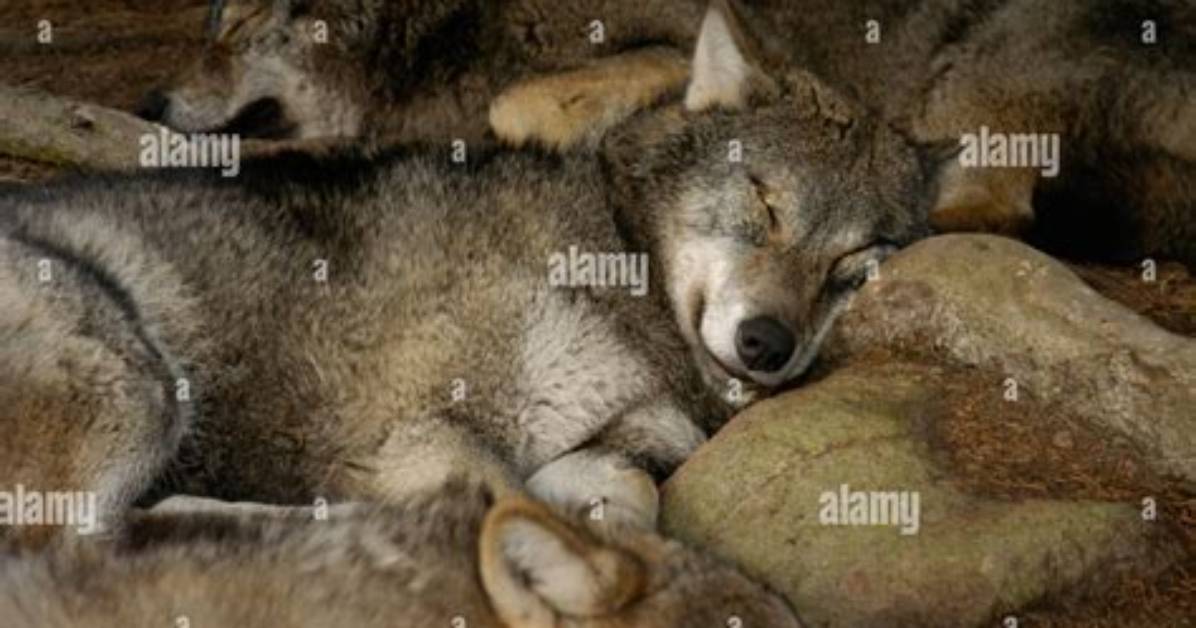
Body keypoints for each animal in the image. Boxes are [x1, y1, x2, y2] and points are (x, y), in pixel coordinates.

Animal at [0, 3, 927, 551]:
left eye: (854, 267)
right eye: (765, 203)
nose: (768, 344)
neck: (622, 269)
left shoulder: (613, 441)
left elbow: (627, 491)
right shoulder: (423, 426)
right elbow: (488, 489)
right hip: (137, 387)